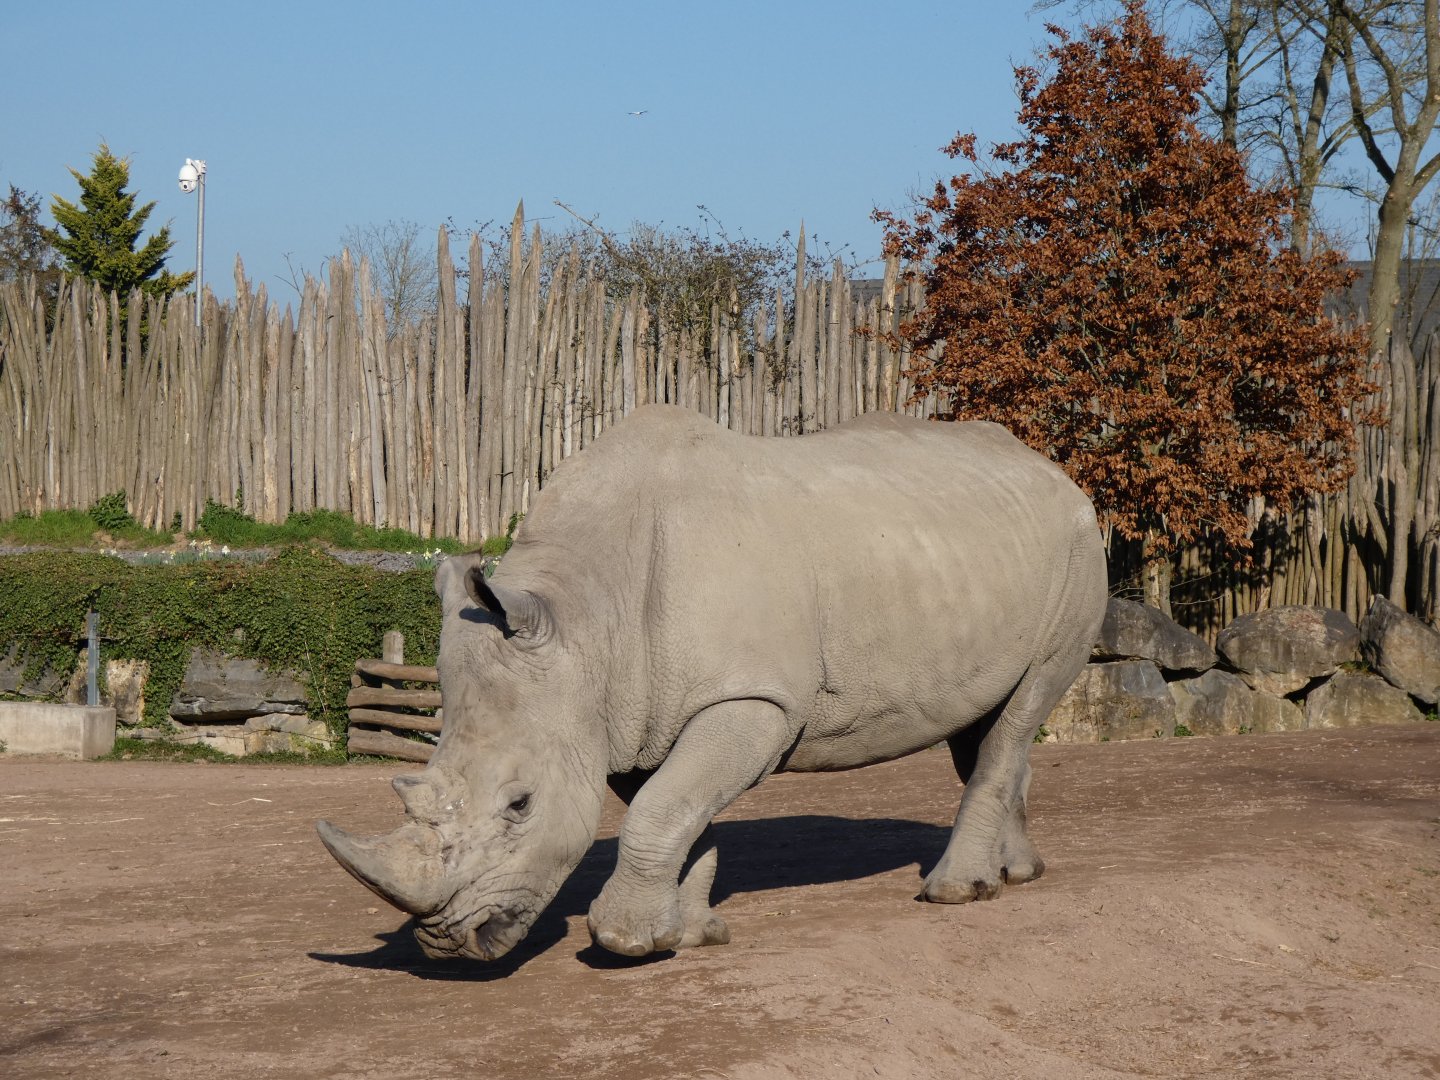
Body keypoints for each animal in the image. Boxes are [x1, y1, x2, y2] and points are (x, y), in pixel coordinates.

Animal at [318, 404, 1107, 960]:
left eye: (520, 805)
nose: (447, 943)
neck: (585, 618)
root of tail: (1056, 471)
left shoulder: (752, 698)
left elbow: (661, 811)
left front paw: (626, 942)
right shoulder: (635, 711)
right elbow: (677, 811)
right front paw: (690, 935)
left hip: (1078, 550)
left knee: (1017, 714)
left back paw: (952, 894)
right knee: (986, 727)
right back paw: (1016, 876)